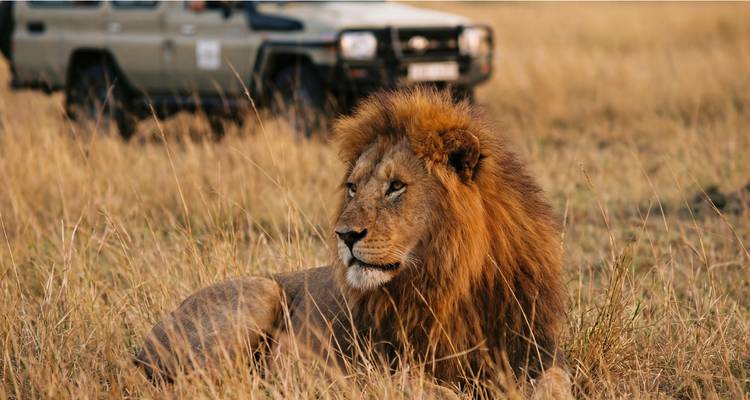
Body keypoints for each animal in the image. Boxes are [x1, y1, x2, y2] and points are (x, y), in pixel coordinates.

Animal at [135, 87, 572, 399]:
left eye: (396, 186)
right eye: (352, 187)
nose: (344, 236)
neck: (450, 280)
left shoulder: (534, 350)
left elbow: (557, 382)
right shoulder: (381, 368)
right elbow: (438, 392)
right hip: (258, 293)